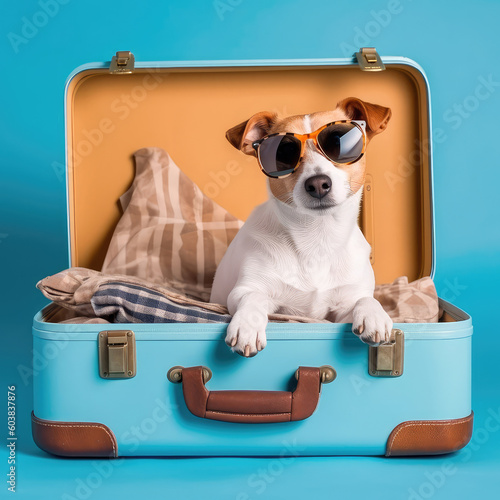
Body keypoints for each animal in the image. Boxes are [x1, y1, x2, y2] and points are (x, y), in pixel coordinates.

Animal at [209, 96, 392, 356]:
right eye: (284, 153)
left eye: (338, 143)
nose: (318, 183)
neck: (317, 238)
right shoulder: (246, 291)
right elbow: (253, 298)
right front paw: (247, 325)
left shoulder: (342, 308)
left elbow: (365, 299)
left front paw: (375, 314)